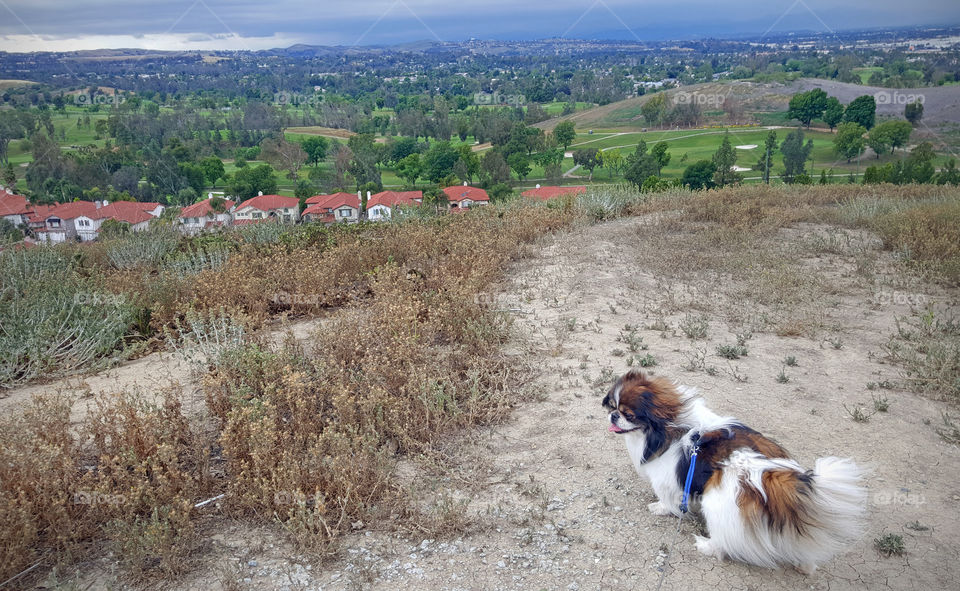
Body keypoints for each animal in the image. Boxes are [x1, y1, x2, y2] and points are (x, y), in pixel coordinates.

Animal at [608, 370, 872, 572]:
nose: (613, 415)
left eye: (628, 414)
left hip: (717, 505)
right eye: (612, 406)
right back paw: (804, 565)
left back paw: (706, 546)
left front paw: (659, 508)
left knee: (722, 542)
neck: (670, 427)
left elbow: (666, 499)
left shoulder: (666, 479)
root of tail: (765, 473)